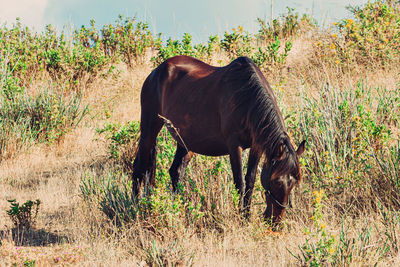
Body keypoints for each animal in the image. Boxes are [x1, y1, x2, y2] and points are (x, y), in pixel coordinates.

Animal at [133, 55, 304, 225]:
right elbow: (240, 183)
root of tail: (156, 71)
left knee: (176, 172)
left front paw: (247, 216)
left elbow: (250, 181)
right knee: (138, 167)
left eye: (294, 182)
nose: (275, 221)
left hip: (186, 141)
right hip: (149, 128)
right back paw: (136, 207)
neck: (246, 98)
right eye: (275, 181)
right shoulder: (234, 146)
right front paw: (241, 218)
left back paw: (180, 208)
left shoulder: (257, 147)